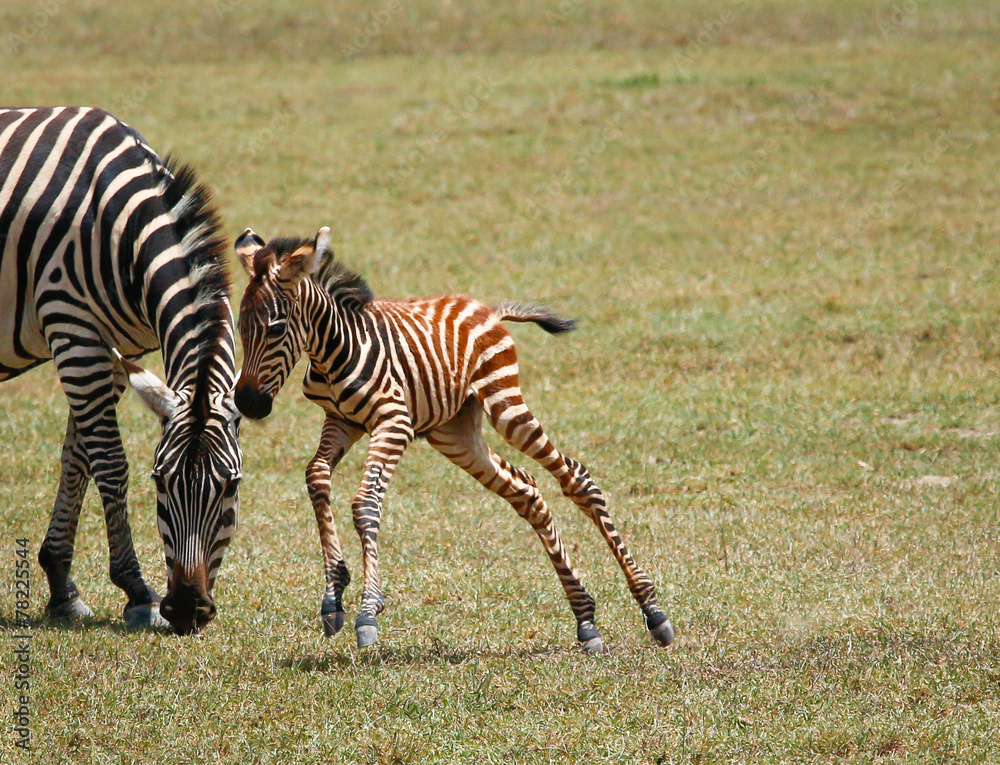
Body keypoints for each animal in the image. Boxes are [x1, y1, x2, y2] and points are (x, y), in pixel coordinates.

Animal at [0, 107, 242, 632]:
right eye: (159, 480)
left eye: (231, 486)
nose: (187, 610)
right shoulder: (74, 333)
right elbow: (109, 463)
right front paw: (137, 591)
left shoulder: (112, 351)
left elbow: (78, 458)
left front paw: (61, 586)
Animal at [233, 225, 672, 652]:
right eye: (239, 327)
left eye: (275, 328)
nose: (247, 403)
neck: (333, 351)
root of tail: (488, 309)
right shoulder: (340, 421)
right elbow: (317, 477)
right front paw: (333, 594)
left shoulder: (393, 423)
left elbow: (364, 505)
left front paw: (368, 613)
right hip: (455, 435)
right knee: (527, 493)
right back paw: (585, 620)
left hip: (505, 406)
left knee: (577, 479)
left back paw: (653, 612)